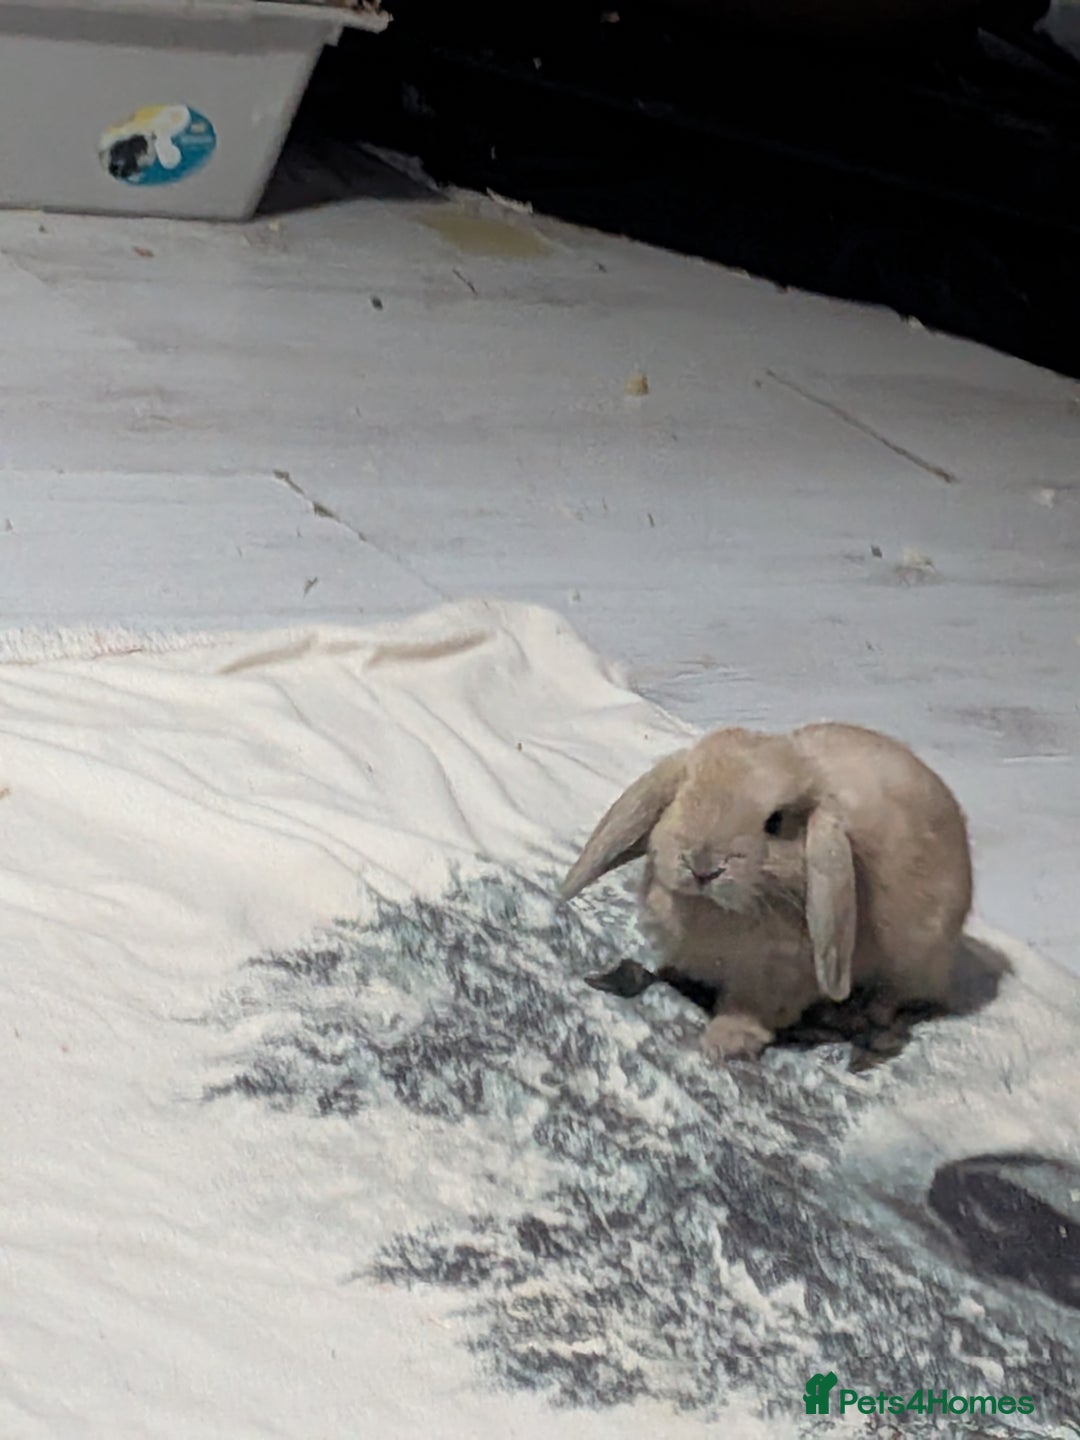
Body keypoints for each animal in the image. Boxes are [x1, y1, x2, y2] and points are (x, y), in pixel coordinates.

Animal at [560, 723, 973, 1062]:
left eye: (775, 823)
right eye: (679, 799)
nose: (703, 867)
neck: (718, 913)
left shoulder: (775, 979)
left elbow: (749, 1011)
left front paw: (723, 1043)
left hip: (918, 958)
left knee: (902, 998)